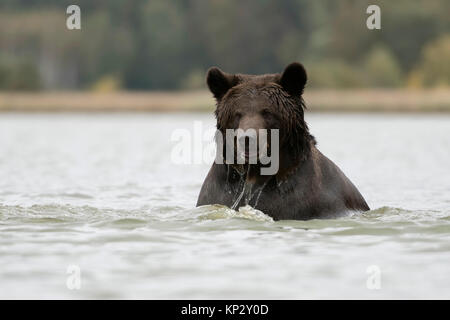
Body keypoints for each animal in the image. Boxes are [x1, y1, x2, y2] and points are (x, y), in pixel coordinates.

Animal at [197, 62, 370, 220]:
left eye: (267, 112)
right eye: (237, 113)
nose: (247, 139)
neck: (253, 174)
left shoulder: (301, 200)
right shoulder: (220, 193)